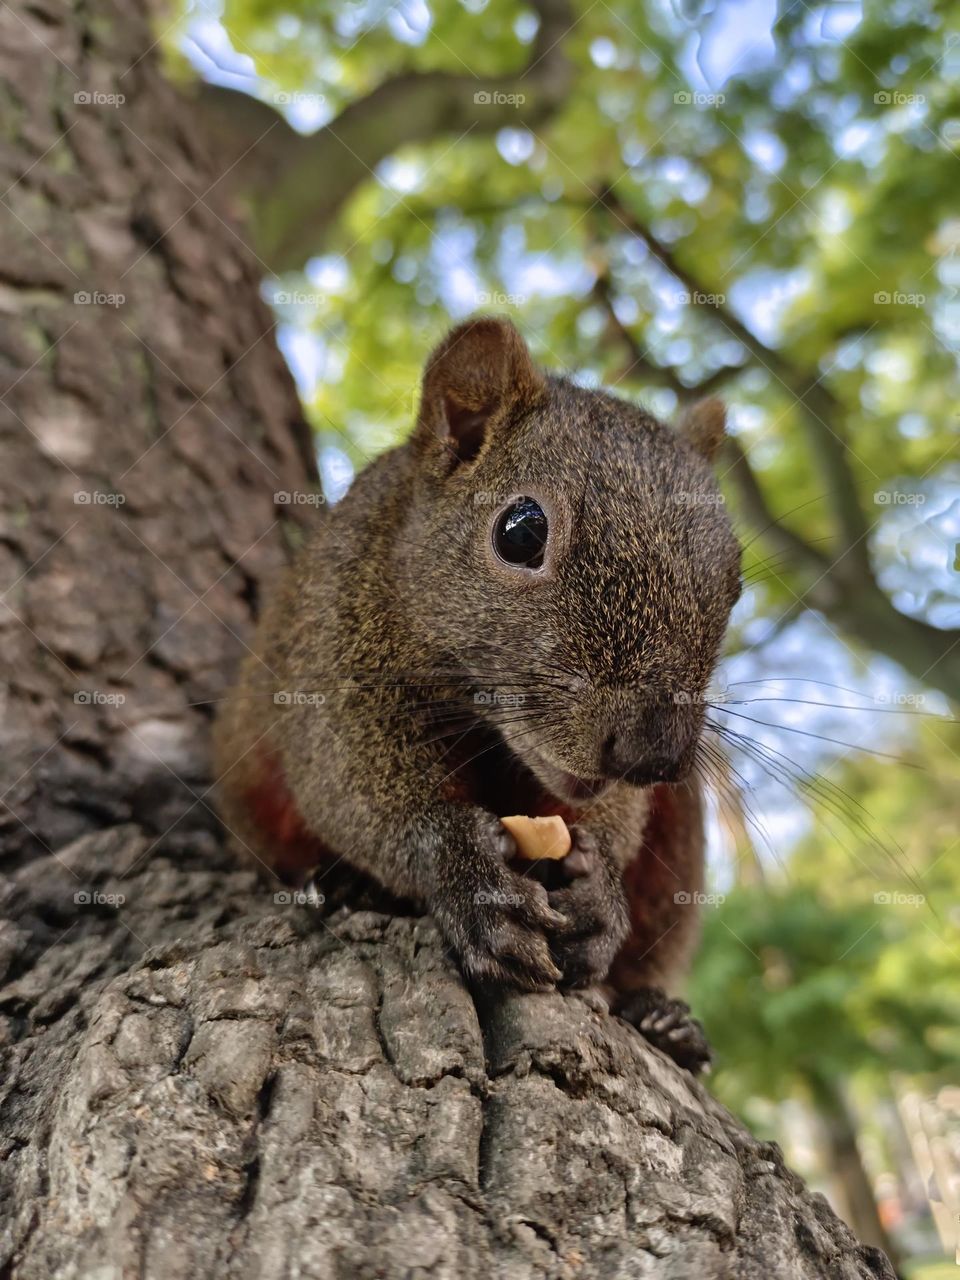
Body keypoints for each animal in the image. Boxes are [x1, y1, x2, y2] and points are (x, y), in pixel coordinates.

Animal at [213, 316, 741, 1072]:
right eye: (520, 532)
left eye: (736, 585)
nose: (653, 753)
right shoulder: (327, 643)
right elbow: (348, 782)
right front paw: (467, 877)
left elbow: (612, 820)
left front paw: (600, 891)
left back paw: (664, 1019)